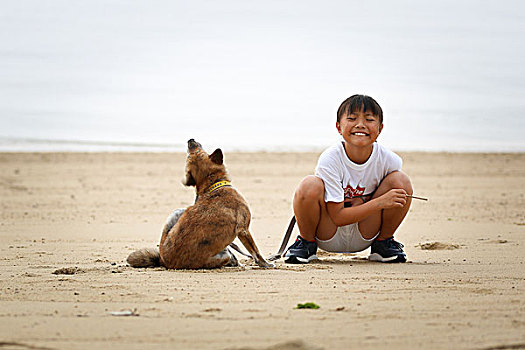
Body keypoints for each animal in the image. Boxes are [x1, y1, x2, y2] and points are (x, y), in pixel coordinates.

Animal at [127, 138, 274, 270]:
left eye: (194, 153)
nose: (190, 140)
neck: (213, 184)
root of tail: (163, 261)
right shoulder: (243, 230)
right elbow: (256, 252)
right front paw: (266, 264)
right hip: (223, 255)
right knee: (229, 257)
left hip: (177, 212)